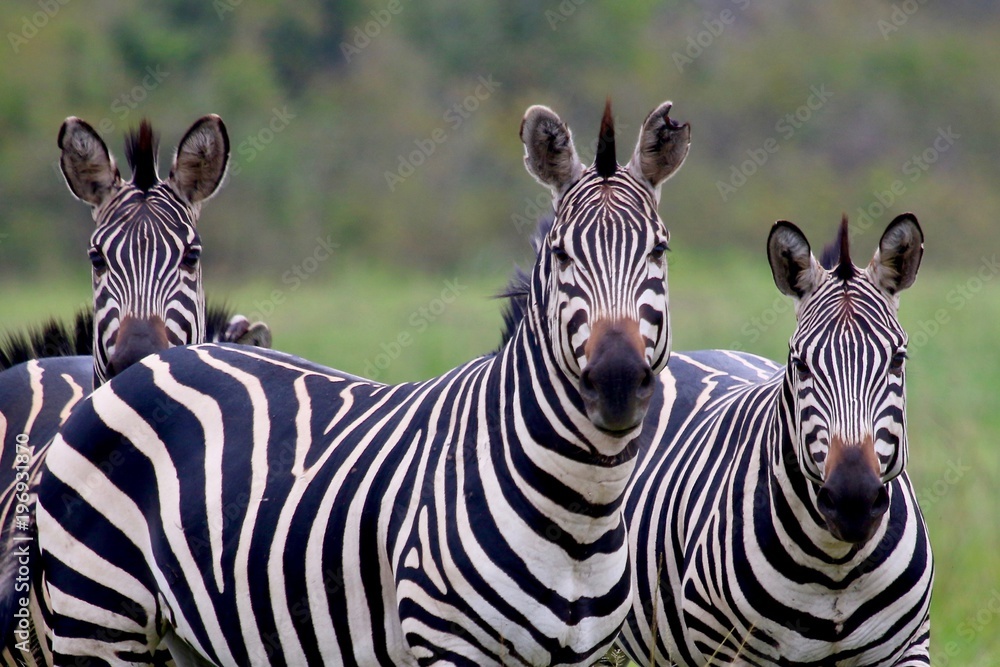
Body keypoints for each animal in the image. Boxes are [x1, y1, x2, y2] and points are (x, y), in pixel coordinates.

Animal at [33, 99, 691, 666]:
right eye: (560, 255)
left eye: (660, 251)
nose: (616, 381)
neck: (582, 511)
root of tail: (137, 372)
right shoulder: (449, 645)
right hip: (96, 621)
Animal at [613, 214, 933, 665]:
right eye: (799, 364)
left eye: (897, 360)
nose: (853, 500)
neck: (837, 565)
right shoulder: (727, 650)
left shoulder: (908, 647)